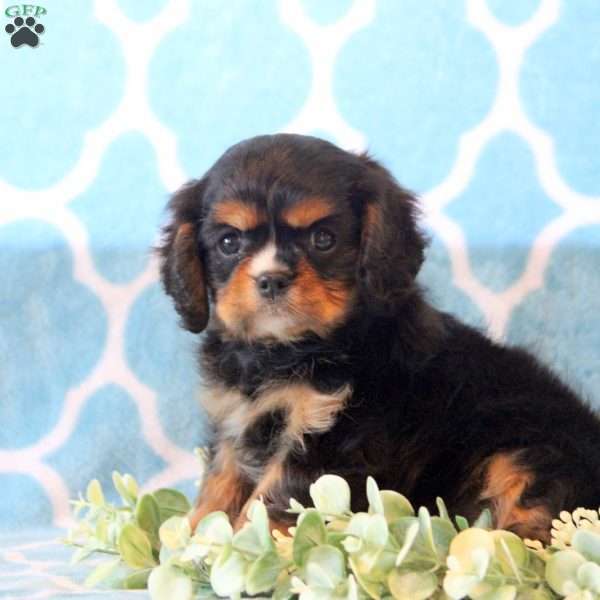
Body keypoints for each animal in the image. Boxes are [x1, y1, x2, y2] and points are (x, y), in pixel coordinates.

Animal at [158, 132, 600, 540]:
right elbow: (219, 482)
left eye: (323, 239)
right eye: (228, 243)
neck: (285, 349)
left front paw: (240, 546)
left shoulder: (329, 433)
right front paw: (190, 541)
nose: (271, 279)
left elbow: (272, 497)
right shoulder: (236, 421)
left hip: (529, 452)